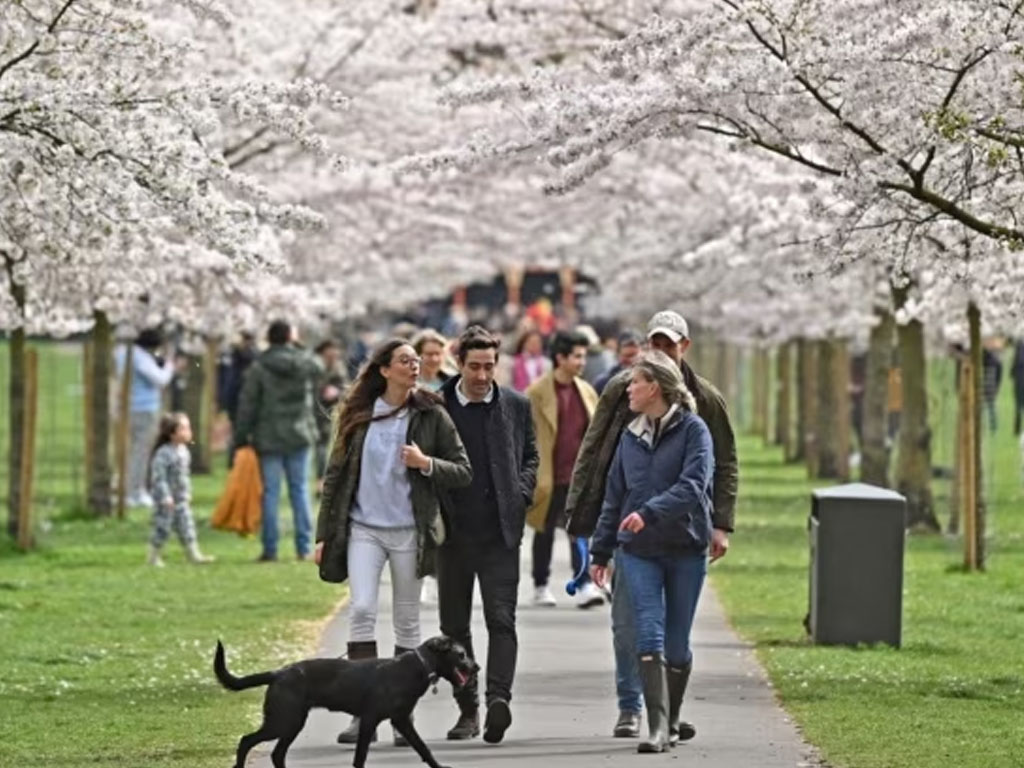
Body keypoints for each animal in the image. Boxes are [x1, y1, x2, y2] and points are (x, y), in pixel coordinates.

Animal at [216, 634, 479, 765]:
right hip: (283, 721)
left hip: (292, 723)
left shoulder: (401, 720)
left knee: (276, 753)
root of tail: (279, 673)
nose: (477, 667)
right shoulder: (370, 719)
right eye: (461, 654)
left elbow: (423, 747)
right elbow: (360, 755)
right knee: (246, 741)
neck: (417, 666)